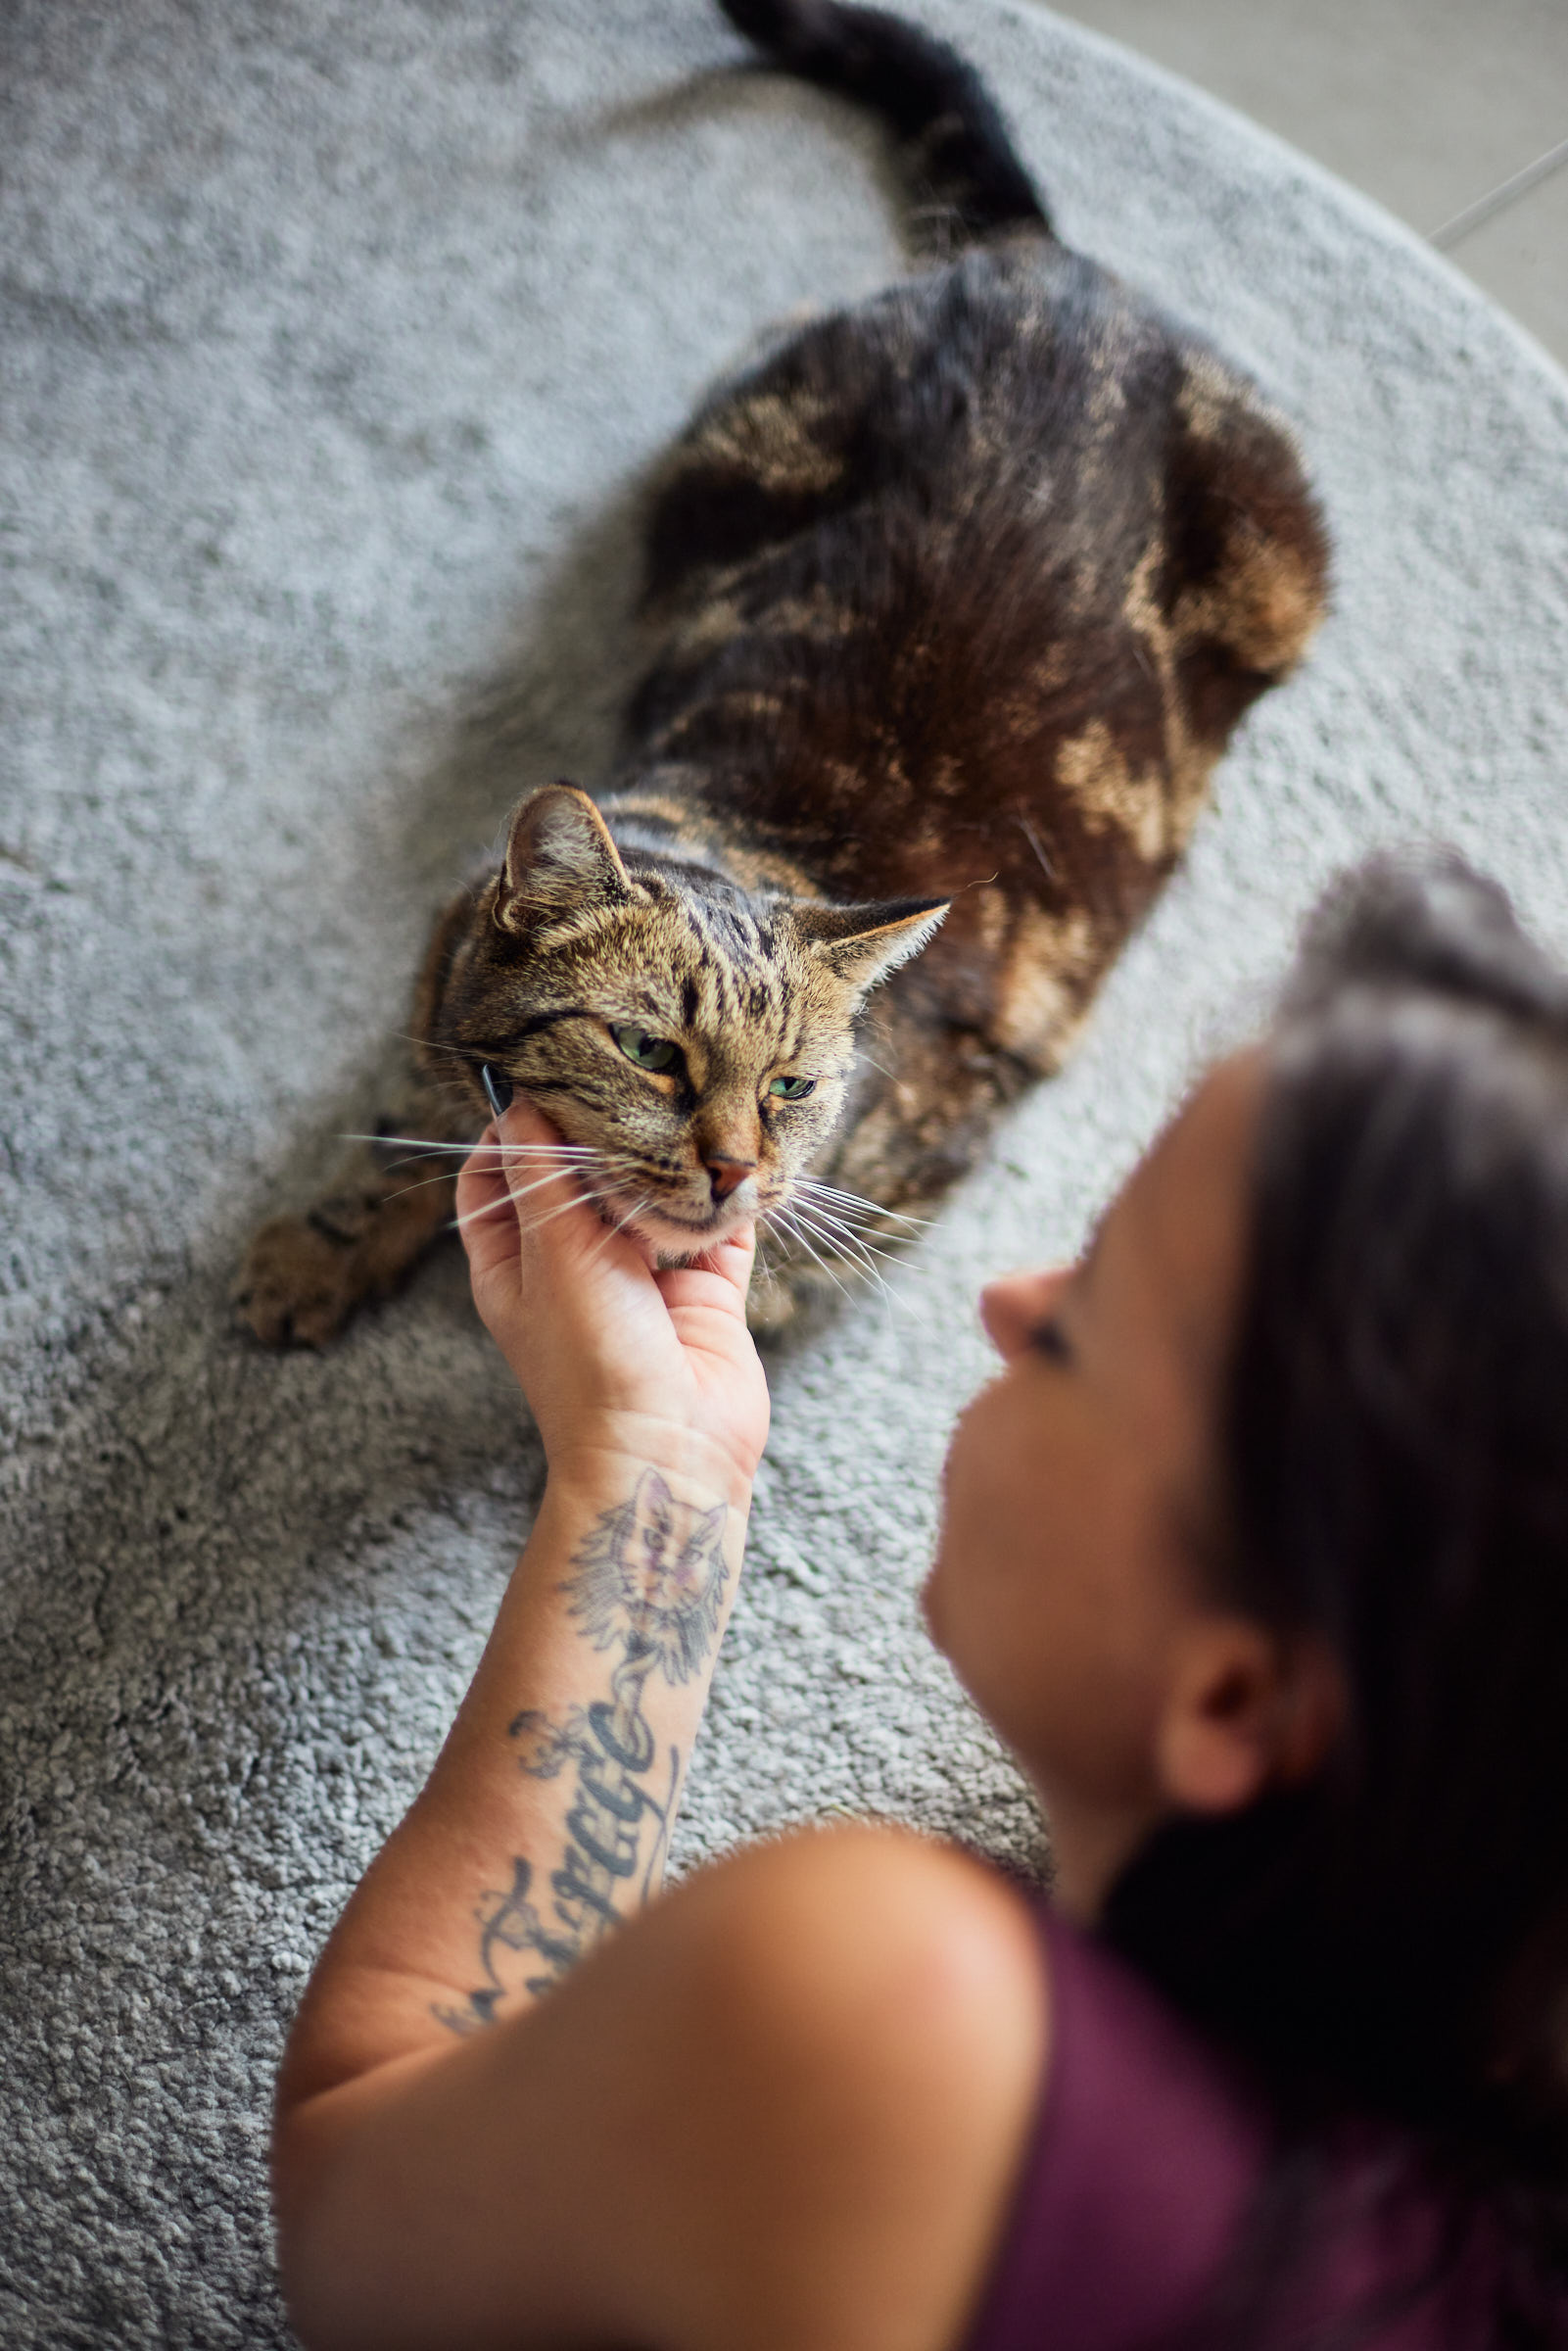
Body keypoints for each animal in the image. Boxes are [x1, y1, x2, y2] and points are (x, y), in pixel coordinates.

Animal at [236, 0, 1325, 1344]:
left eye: (793, 1087)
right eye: (651, 1054)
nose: (735, 1168)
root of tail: (1052, 269)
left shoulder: (944, 1118)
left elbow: (796, 1267)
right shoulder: (434, 1002)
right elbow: (404, 1139)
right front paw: (324, 1245)